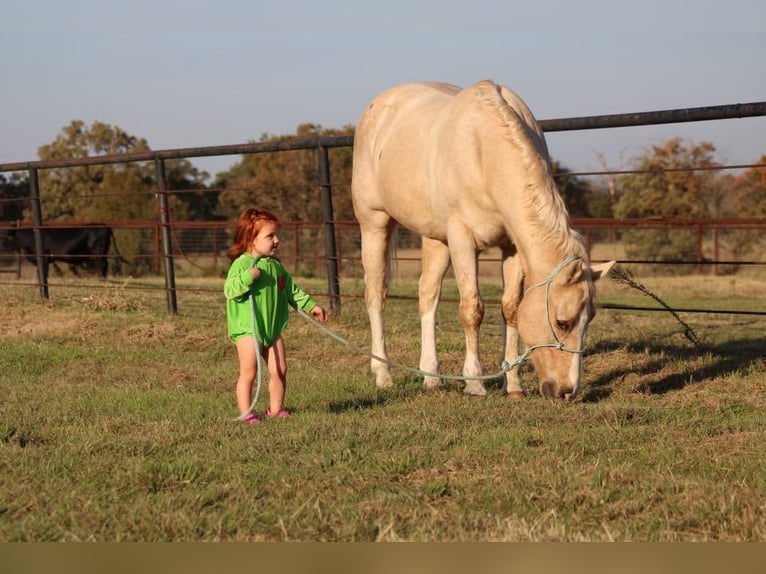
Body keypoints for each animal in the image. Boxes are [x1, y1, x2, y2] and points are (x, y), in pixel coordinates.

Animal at [352, 81, 616, 400]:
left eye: (591, 318)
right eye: (562, 322)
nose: (567, 391)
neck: (483, 153)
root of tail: (378, 105)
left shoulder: (511, 246)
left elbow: (511, 308)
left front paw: (512, 385)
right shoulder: (462, 240)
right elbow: (472, 310)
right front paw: (475, 383)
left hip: (435, 237)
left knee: (428, 294)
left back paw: (431, 376)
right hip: (374, 224)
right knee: (376, 294)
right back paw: (383, 374)